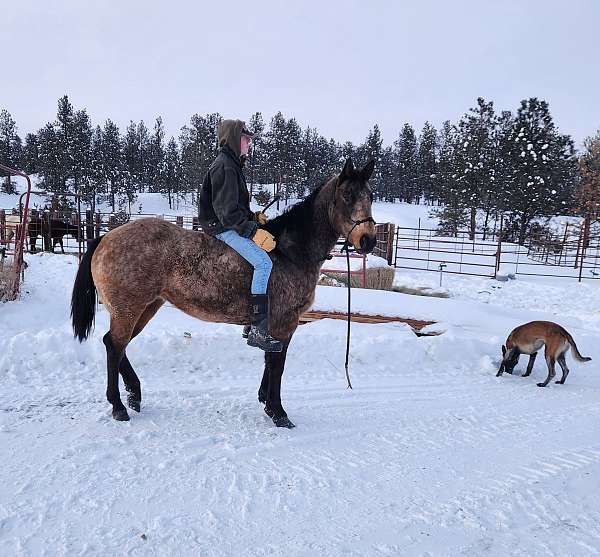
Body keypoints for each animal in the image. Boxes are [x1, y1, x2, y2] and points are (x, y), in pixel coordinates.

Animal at [71, 159, 376, 428]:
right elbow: (276, 365)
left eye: (370, 195)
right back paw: (119, 406)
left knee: (117, 344)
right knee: (115, 346)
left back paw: (134, 394)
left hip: (146, 307)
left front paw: (265, 400)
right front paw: (278, 412)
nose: (369, 240)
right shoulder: (284, 323)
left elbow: (269, 361)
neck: (289, 251)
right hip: (129, 308)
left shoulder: (275, 327)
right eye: (347, 195)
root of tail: (106, 237)